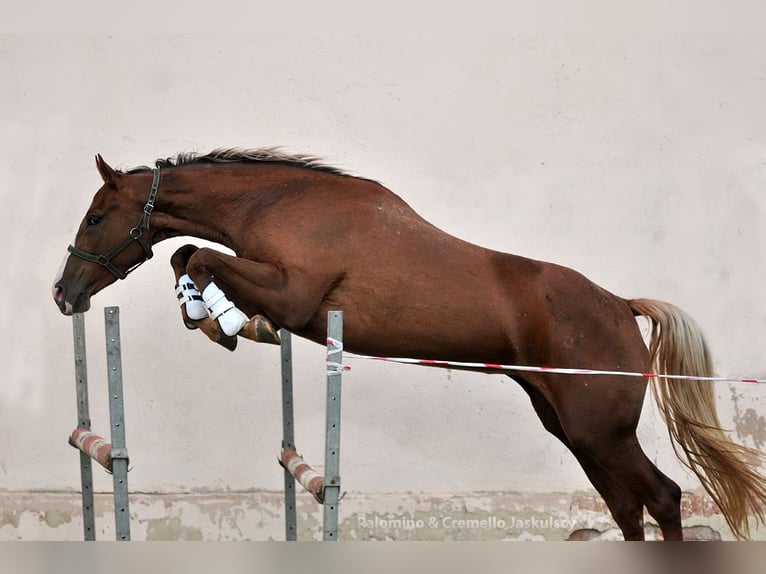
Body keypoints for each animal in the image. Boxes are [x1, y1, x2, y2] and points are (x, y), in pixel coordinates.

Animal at [54, 147, 766, 540]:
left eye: (96, 216)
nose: (65, 294)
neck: (280, 202)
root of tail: (621, 307)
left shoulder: (296, 295)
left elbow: (200, 256)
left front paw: (221, 320)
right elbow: (186, 254)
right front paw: (213, 316)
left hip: (601, 432)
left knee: (662, 498)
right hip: (572, 430)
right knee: (627, 506)